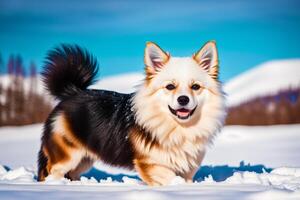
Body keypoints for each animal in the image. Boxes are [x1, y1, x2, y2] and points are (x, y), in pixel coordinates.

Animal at [37, 41, 225, 186]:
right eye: (170, 86)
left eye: (195, 87)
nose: (183, 99)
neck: (178, 128)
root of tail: (72, 92)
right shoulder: (149, 162)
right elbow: (170, 178)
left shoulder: (188, 165)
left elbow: (185, 179)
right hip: (68, 155)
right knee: (51, 171)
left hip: (85, 158)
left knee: (72, 173)